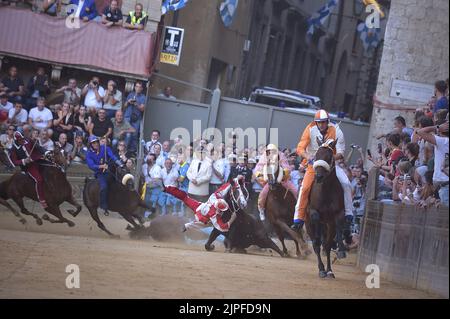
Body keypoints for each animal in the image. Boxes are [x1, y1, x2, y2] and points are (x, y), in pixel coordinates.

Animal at [308, 139, 346, 278]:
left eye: (329, 157)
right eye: (316, 156)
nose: (318, 177)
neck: (326, 191)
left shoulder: (338, 213)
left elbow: (339, 224)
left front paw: (341, 250)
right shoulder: (313, 212)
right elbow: (317, 242)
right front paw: (321, 269)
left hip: (329, 225)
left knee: (328, 245)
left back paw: (329, 270)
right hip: (308, 224)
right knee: (316, 244)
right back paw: (321, 269)